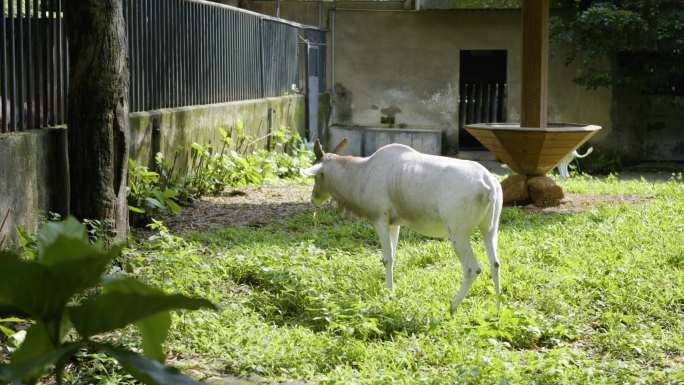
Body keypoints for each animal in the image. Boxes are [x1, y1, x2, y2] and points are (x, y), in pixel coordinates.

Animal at [304, 140, 502, 310]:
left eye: (317, 177)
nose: (314, 198)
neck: (364, 170)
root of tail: (489, 184)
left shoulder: (380, 220)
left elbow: (387, 258)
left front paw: (388, 295)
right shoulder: (394, 224)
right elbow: (393, 255)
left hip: (458, 235)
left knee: (472, 269)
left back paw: (451, 308)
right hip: (490, 230)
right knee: (495, 263)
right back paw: (498, 310)